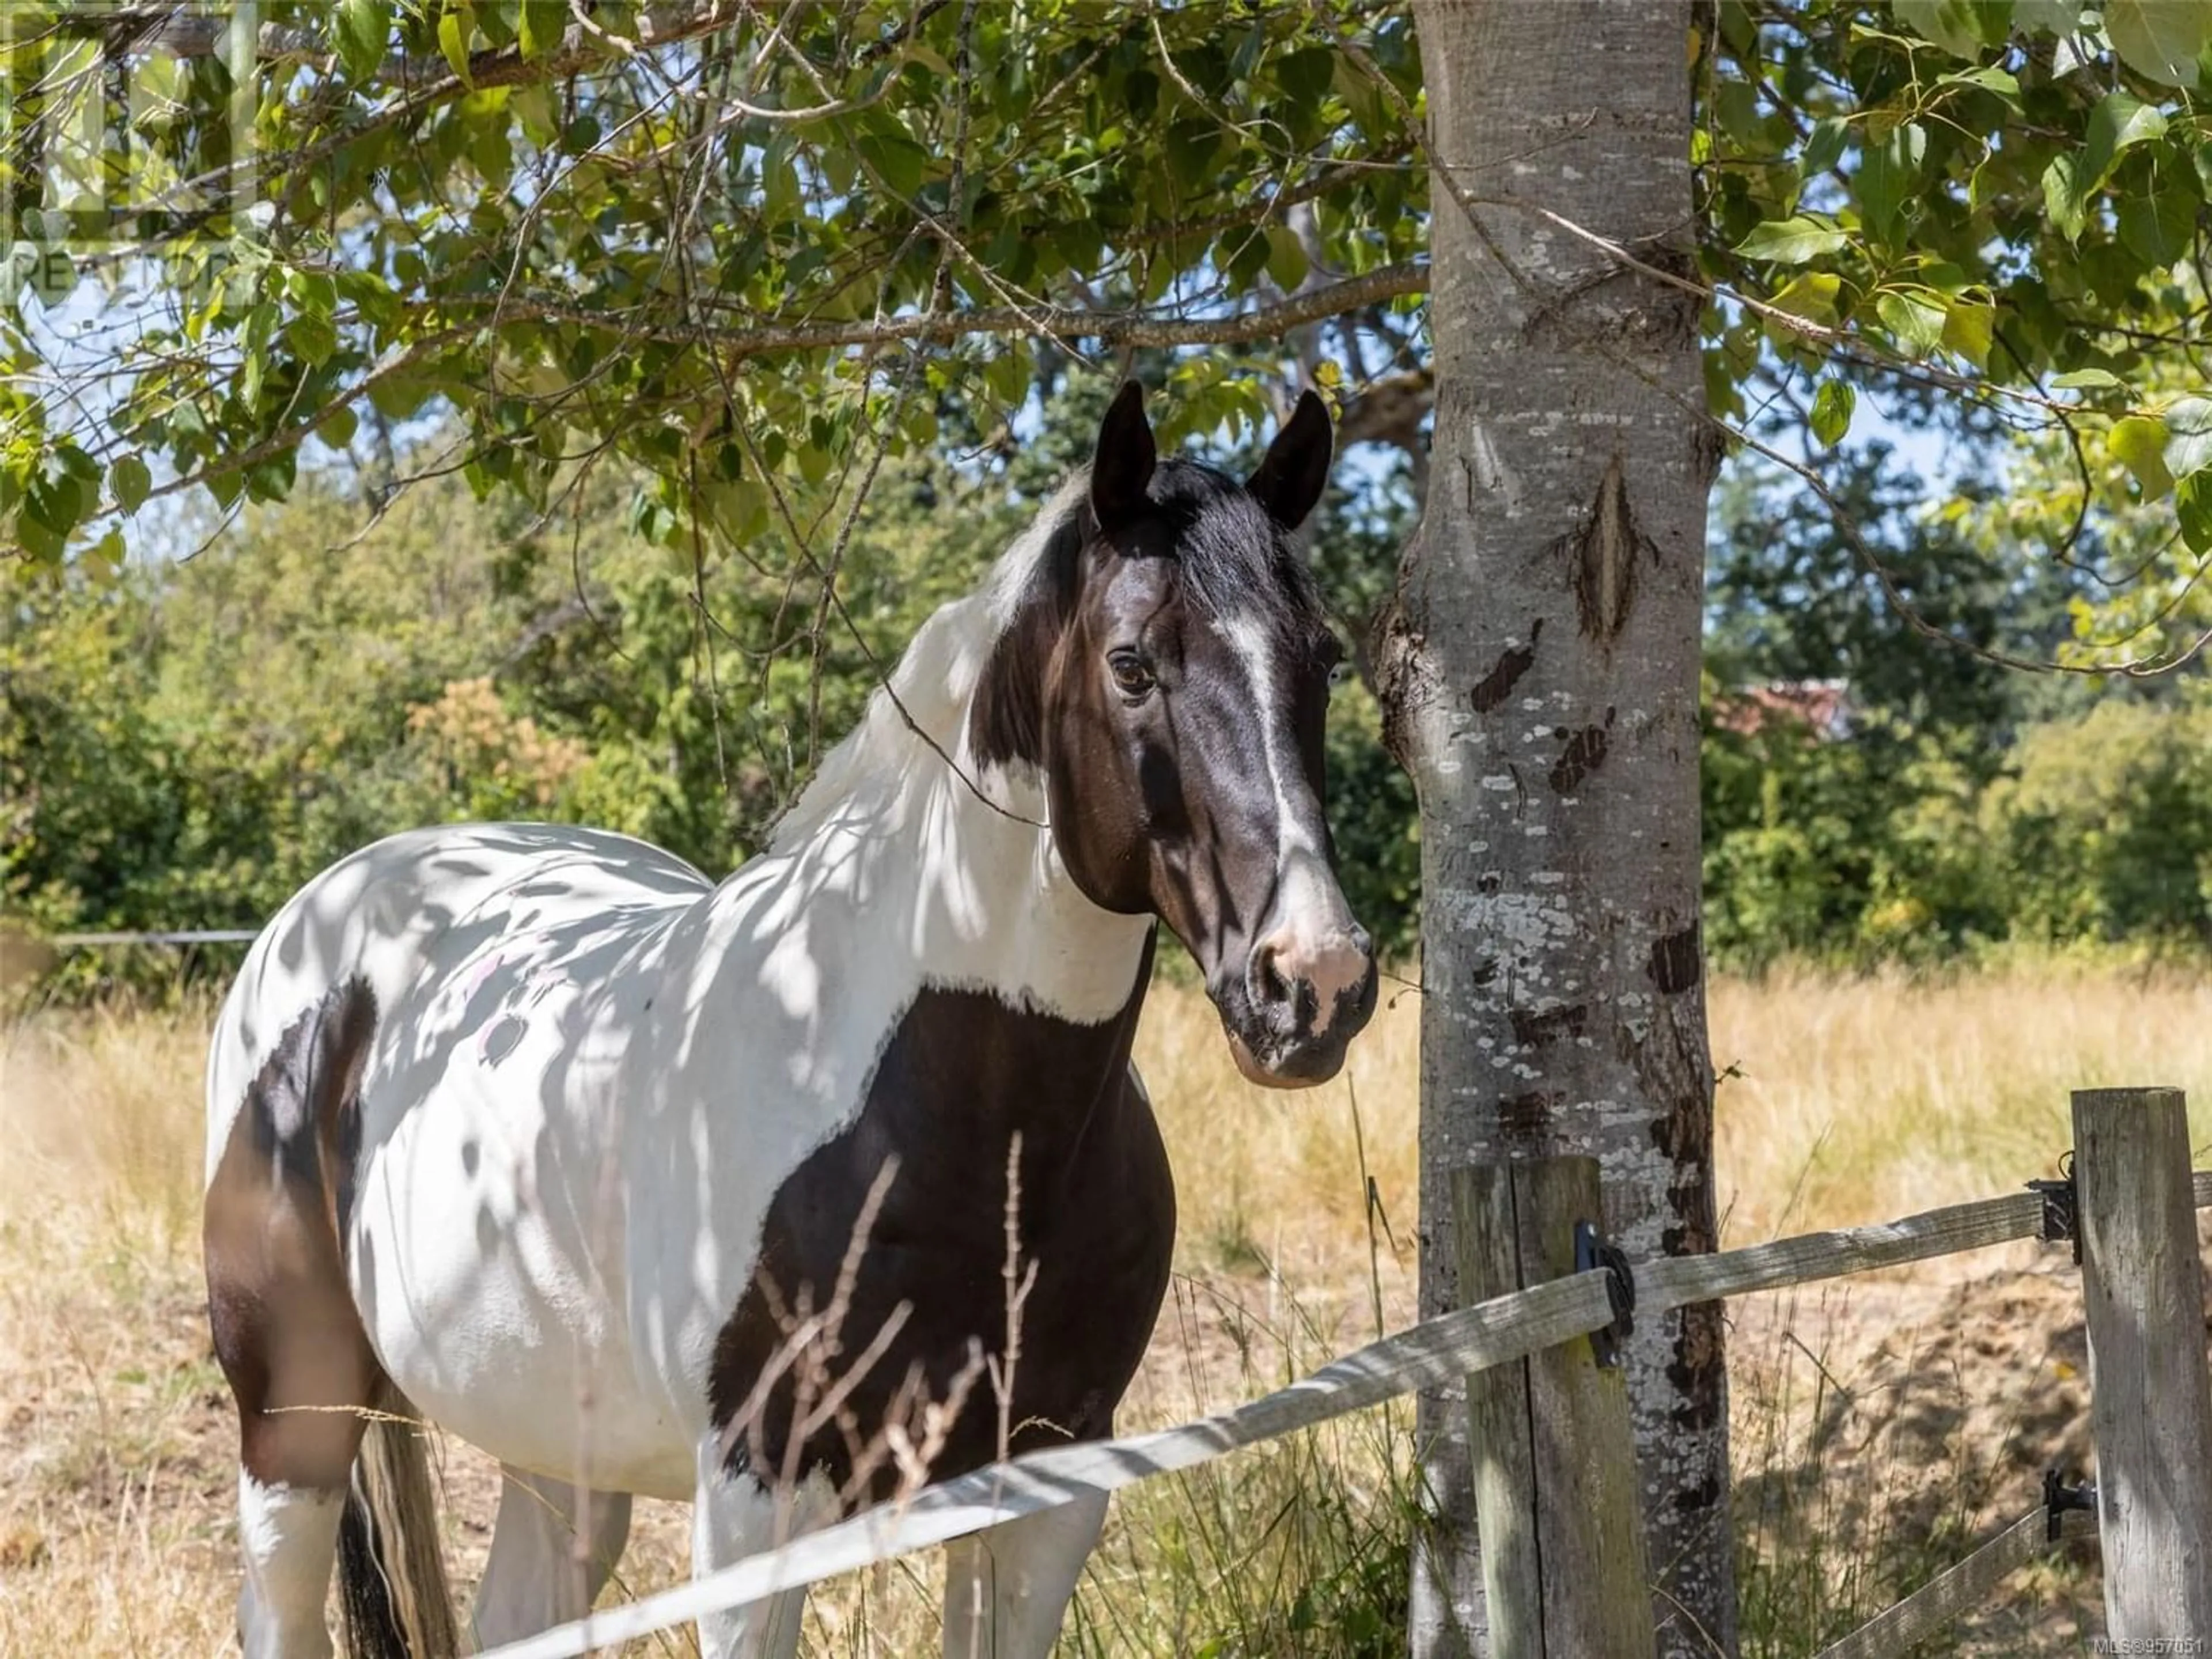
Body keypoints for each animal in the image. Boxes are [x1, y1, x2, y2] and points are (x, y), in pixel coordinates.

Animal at [199, 382, 1371, 1654]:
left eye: (1325, 660)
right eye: (1132, 664)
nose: (1313, 982)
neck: (938, 1105)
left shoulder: (1048, 1481)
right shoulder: (755, 1501)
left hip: (557, 1454)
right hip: (294, 1433)